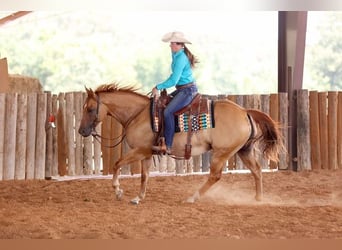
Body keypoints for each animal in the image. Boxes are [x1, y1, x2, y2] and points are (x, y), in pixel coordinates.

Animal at [78, 83, 284, 204]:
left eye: (90, 109)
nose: (81, 131)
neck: (139, 114)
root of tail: (244, 111)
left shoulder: (139, 150)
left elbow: (117, 163)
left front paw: (118, 191)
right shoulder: (146, 153)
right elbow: (144, 176)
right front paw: (138, 197)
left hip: (221, 153)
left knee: (215, 176)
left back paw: (193, 197)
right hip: (243, 150)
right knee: (256, 170)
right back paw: (258, 198)